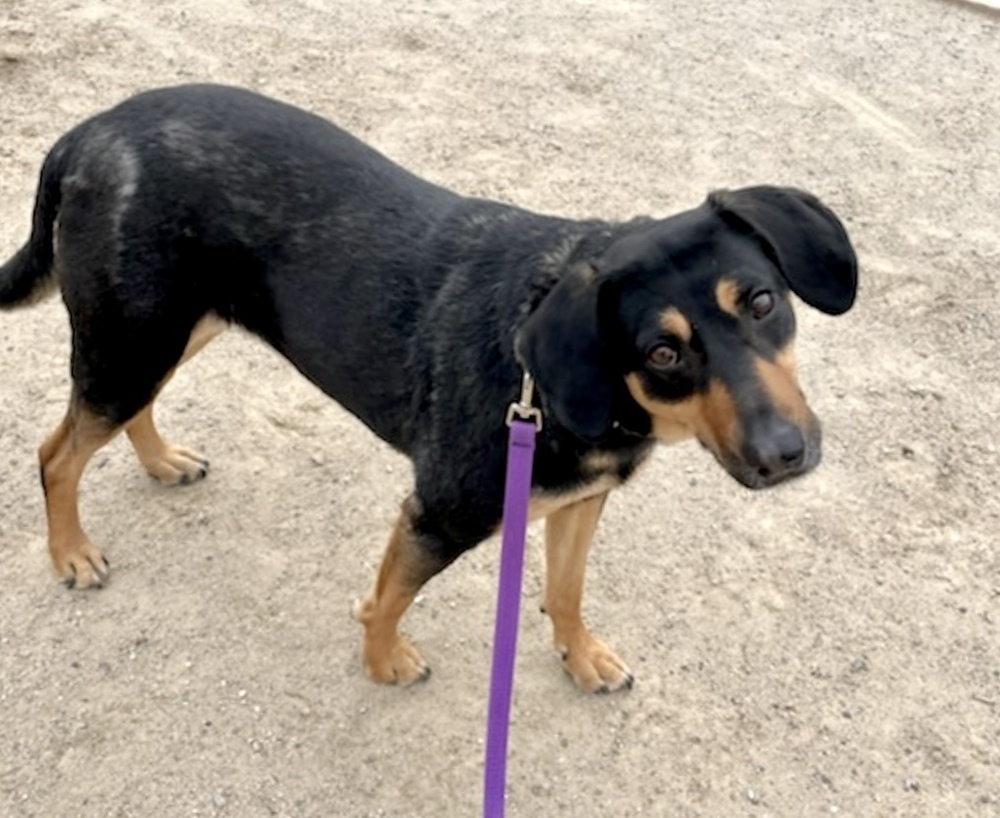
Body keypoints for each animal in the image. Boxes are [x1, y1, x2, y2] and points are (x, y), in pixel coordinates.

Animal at [1, 86, 860, 692]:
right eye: (661, 352)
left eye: (761, 302)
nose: (786, 455)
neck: (563, 393)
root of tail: (93, 127)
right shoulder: (438, 515)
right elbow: (387, 598)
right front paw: (384, 662)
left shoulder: (581, 503)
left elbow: (567, 591)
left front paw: (581, 657)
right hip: (132, 342)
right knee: (56, 454)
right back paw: (72, 553)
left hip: (171, 330)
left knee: (127, 413)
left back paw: (160, 461)